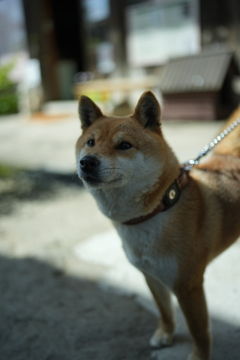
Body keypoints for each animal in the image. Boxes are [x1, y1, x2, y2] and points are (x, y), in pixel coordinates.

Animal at [75, 90, 240, 360]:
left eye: (124, 145)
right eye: (90, 142)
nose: (87, 162)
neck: (156, 211)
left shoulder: (188, 286)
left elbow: (199, 331)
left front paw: (199, 356)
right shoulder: (151, 276)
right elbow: (164, 311)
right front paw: (165, 334)